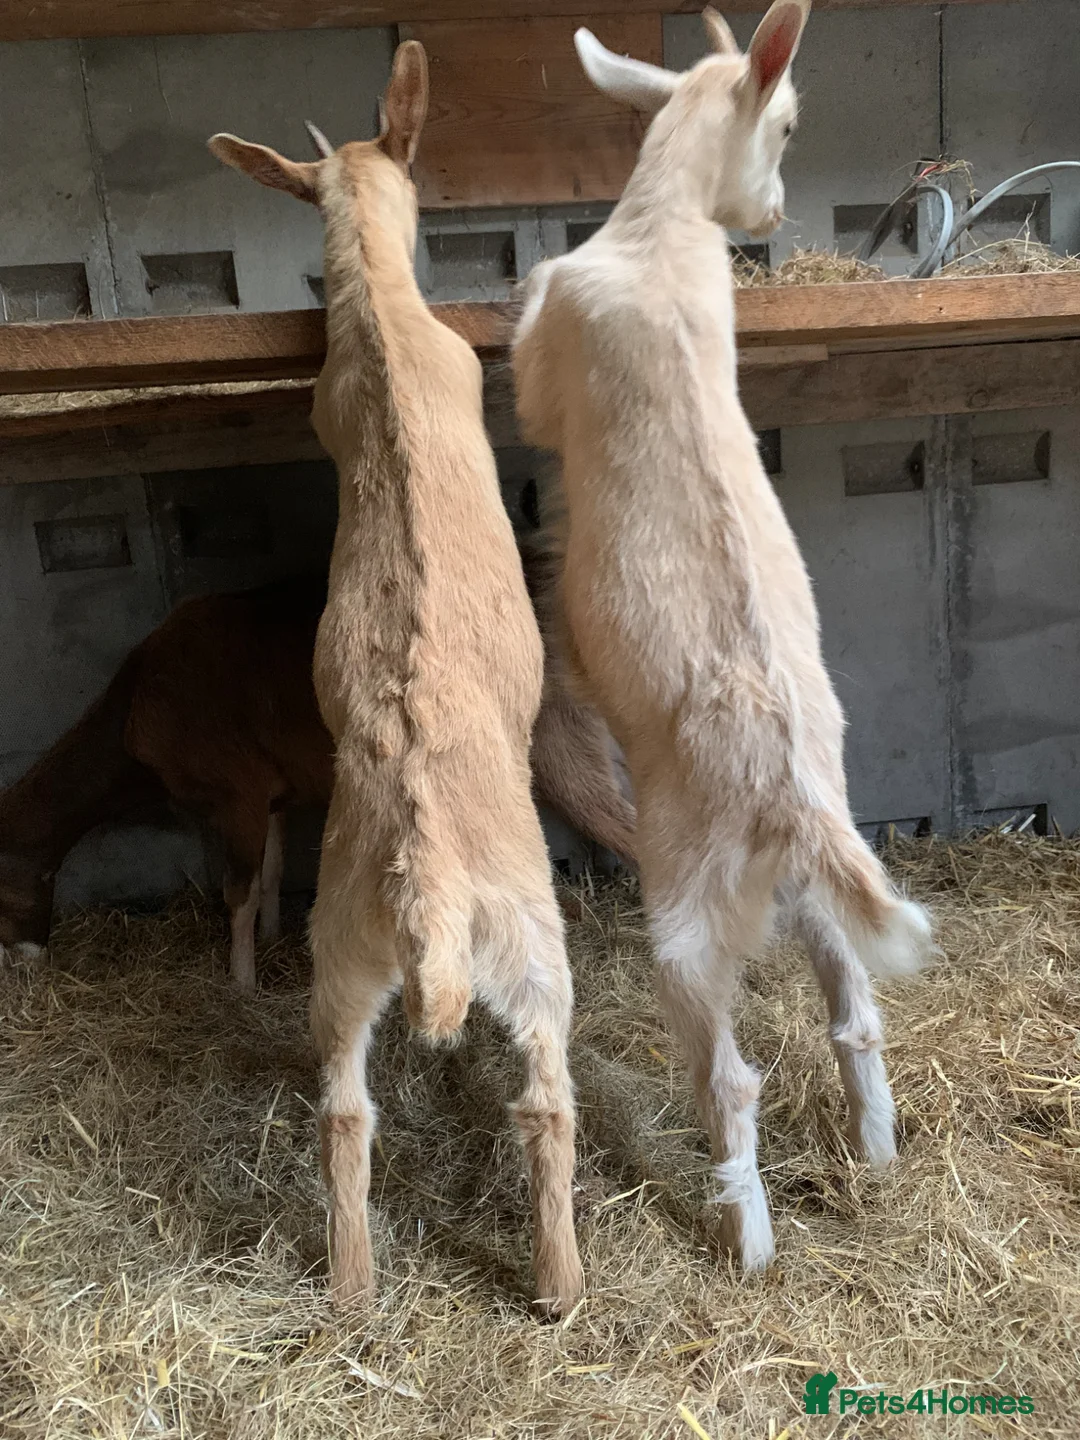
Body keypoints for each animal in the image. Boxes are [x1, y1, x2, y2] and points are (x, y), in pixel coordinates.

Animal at [0, 567, 634, 994]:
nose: (24, 960)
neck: (137, 707)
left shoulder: (237, 796)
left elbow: (237, 891)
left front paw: (241, 984)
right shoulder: (273, 796)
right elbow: (273, 872)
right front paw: (273, 939)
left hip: (560, 743)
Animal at [209, 41, 584, 1311]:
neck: (378, 320)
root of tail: (426, 889)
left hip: (340, 953)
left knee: (342, 1111)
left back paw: (354, 1284)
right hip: (528, 937)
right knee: (543, 1100)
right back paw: (559, 1285)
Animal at [511, 1, 935, 1273]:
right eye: (788, 125)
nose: (772, 217)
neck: (660, 234)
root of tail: (790, 794)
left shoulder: (550, 341)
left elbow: (523, 373)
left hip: (691, 902)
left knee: (731, 1070)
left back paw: (746, 1235)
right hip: (820, 873)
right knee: (855, 1013)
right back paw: (876, 1154)